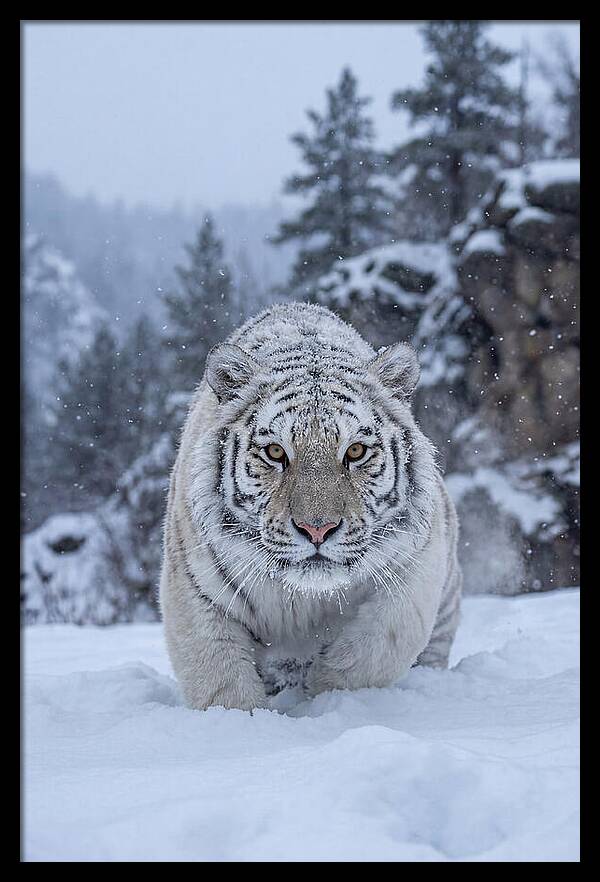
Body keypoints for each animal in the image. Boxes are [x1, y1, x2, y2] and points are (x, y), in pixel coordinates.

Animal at [159, 302, 462, 711]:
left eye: (355, 451)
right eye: (275, 452)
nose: (317, 529)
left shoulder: (414, 569)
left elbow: (375, 650)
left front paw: (326, 693)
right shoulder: (195, 591)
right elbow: (220, 681)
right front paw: (244, 719)